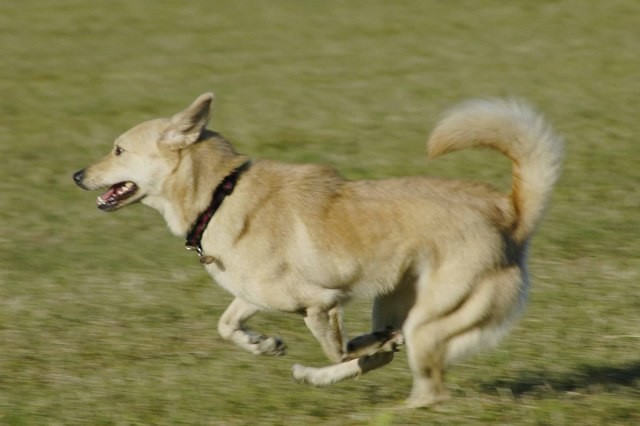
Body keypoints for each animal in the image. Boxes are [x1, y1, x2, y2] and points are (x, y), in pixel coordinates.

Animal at [75, 93, 564, 406]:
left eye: (118, 149)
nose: (77, 175)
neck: (218, 194)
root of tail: (511, 215)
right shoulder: (256, 294)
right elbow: (227, 324)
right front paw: (264, 344)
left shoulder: (320, 304)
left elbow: (342, 351)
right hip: (398, 296)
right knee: (391, 356)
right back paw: (325, 368)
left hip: (431, 316)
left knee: (426, 390)